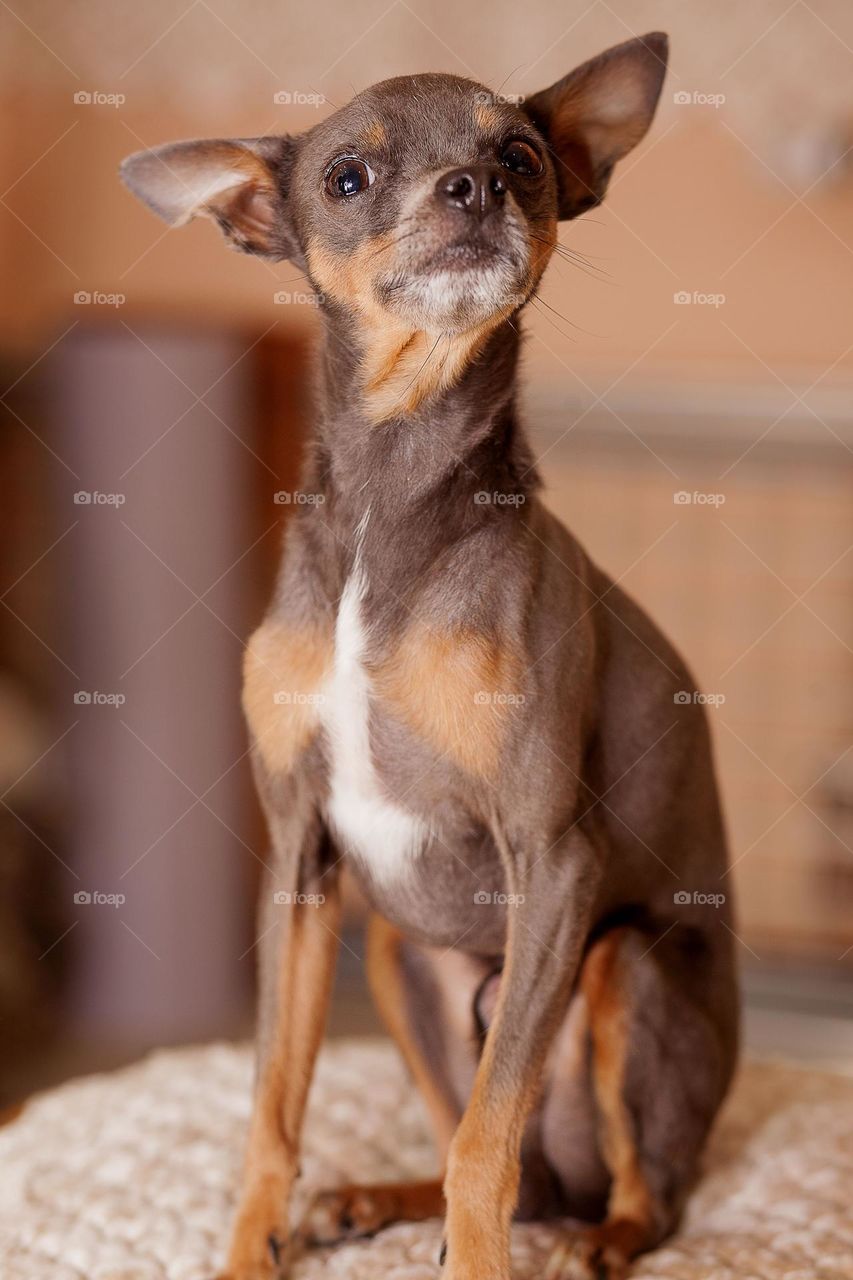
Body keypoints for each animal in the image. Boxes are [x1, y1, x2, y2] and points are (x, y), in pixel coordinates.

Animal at [121, 32, 737, 1280]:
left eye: (521, 157)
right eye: (347, 177)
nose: (472, 187)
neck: (391, 493)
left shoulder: (554, 862)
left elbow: (483, 1141)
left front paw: (476, 1257)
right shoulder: (300, 863)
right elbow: (274, 1105)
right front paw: (250, 1246)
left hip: (619, 966)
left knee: (636, 1187)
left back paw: (597, 1240)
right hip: (395, 952)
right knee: (511, 1157)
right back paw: (374, 1199)